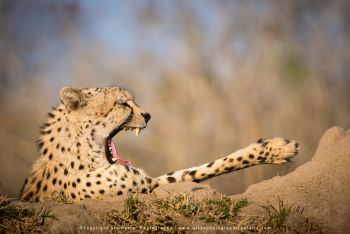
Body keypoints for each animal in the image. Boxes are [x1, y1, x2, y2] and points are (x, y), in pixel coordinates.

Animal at [18, 87, 298, 202]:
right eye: (123, 103)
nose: (148, 115)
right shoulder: (144, 186)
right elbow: (202, 170)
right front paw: (275, 148)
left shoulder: (146, 181)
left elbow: (194, 170)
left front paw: (274, 148)